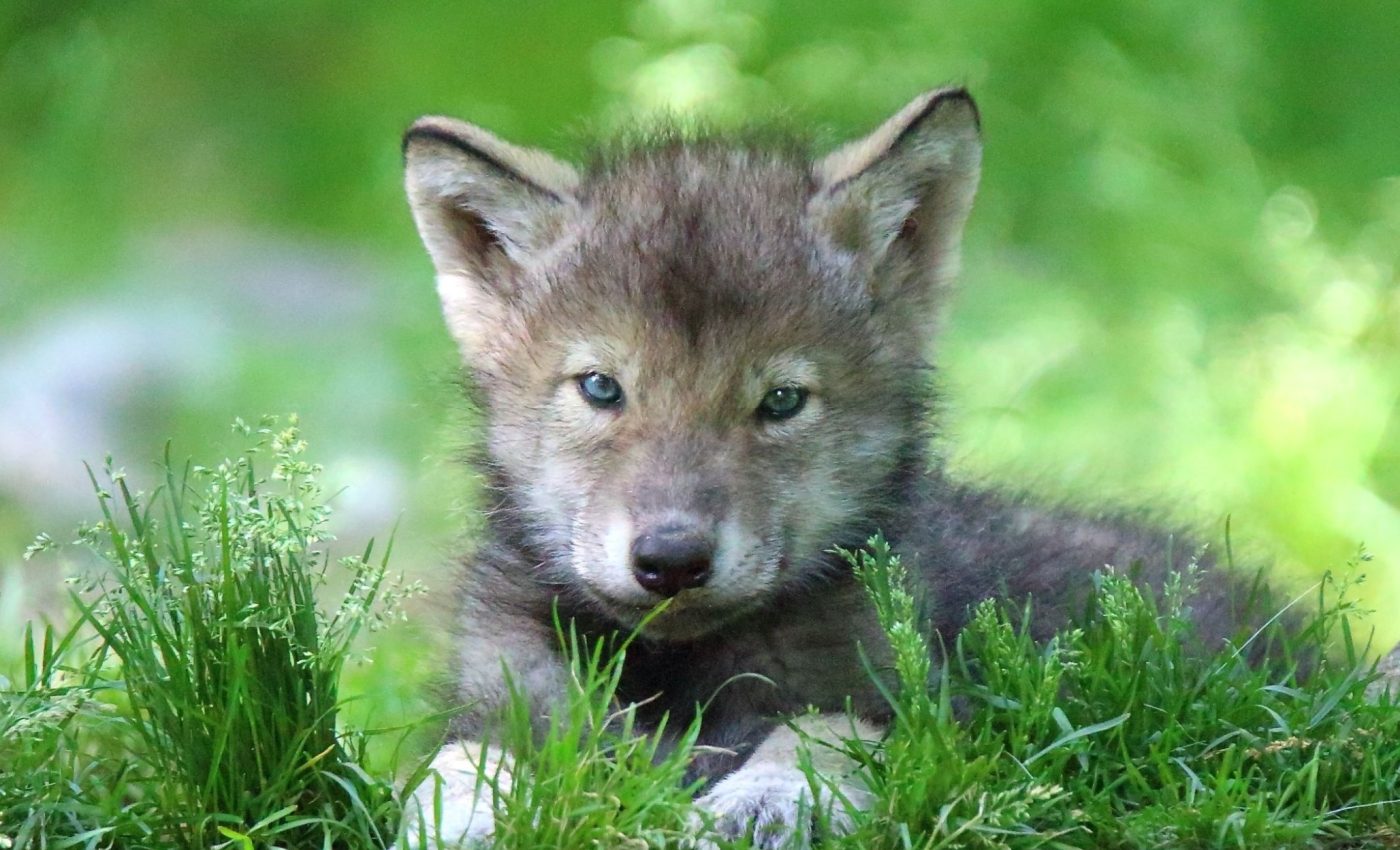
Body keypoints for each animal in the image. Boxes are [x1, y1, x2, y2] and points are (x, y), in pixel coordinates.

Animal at [396, 88, 1269, 847]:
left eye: (782, 401)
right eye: (602, 387)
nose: (671, 560)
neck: (678, 673)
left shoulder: (911, 700)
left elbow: (819, 732)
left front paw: (763, 801)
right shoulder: (503, 696)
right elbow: (461, 762)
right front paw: (462, 817)